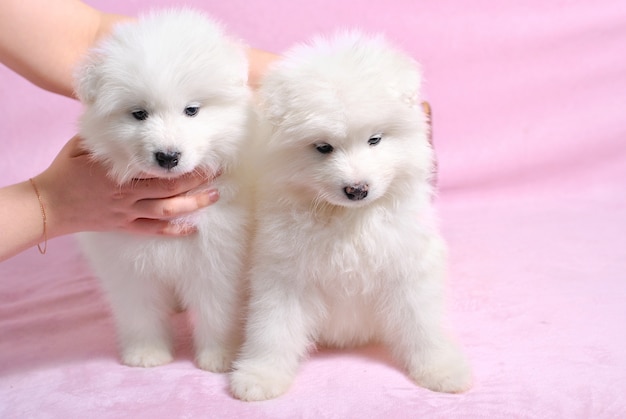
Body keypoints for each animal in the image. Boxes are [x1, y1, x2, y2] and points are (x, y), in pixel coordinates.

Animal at [73, 8, 249, 372]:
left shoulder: (219, 256)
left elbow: (217, 310)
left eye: (192, 110)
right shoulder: (124, 260)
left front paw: (219, 356)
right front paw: (146, 353)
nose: (168, 156)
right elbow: (138, 309)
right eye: (139, 114)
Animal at [229, 32, 468, 400]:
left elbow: (422, 323)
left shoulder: (408, 265)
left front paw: (441, 368)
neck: (349, 219)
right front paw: (260, 375)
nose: (357, 189)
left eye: (375, 139)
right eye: (323, 147)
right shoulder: (283, 274)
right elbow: (272, 328)